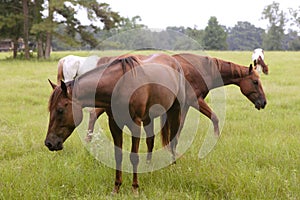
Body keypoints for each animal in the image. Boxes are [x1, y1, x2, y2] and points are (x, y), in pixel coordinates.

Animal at [44, 54, 185, 195]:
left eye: (60, 110)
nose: (49, 143)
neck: (120, 87)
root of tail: (174, 62)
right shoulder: (114, 124)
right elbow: (118, 155)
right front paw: (116, 188)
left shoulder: (135, 124)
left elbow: (134, 157)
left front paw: (135, 188)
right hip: (148, 118)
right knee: (150, 141)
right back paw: (148, 167)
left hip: (175, 111)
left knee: (173, 140)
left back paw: (172, 167)